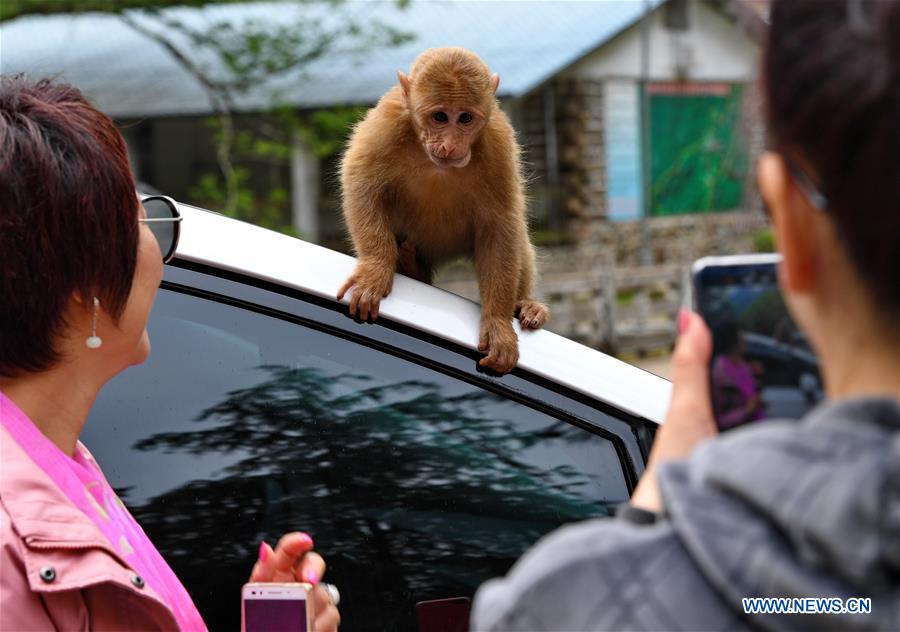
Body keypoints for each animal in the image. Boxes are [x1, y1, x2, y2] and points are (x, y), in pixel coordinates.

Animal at [336, 47, 550, 374]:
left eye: (465, 118)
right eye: (440, 116)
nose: (450, 145)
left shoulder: (498, 141)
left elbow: (500, 224)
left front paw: (498, 324)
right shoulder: (388, 121)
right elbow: (361, 184)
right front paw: (375, 270)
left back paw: (526, 304)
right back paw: (409, 265)